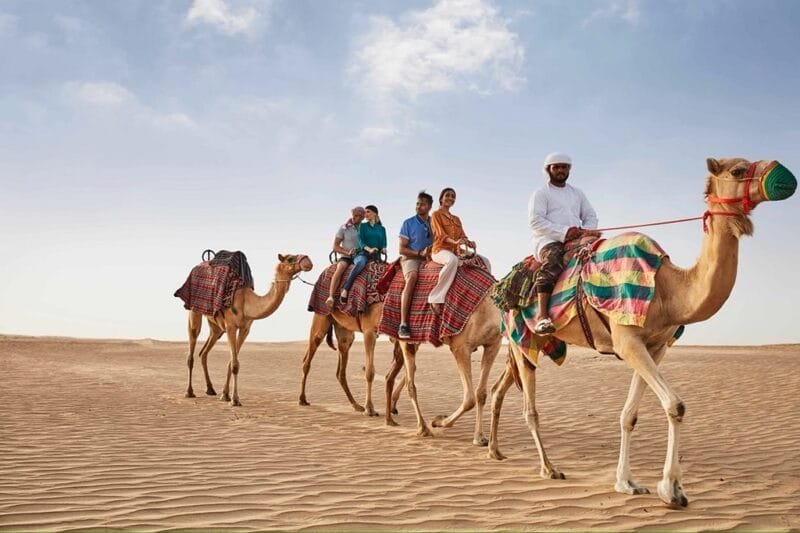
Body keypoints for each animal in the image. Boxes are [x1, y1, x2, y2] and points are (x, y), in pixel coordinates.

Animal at [184, 253, 313, 406]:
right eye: (290, 258)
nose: (308, 262)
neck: (247, 302)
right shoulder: (231, 326)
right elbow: (234, 364)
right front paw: (235, 400)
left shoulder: (245, 329)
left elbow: (232, 362)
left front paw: (225, 395)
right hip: (194, 311)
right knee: (192, 346)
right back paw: (189, 392)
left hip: (216, 327)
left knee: (203, 352)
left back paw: (210, 389)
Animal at [384, 294, 502, 445]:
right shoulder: (460, 347)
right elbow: (469, 399)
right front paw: (438, 421)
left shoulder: (493, 344)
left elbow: (481, 394)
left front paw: (479, 438)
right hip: (406, 339)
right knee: (410, 383)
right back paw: (422, 428)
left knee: (399, 372)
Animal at [488, 157, 796, 508]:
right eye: (738, 170)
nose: (785, 174)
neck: (668, 289)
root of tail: (501, 287)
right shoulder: (627, 340)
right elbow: (675, 405)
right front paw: (671, 489)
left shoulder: (655, 346)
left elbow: (630, 415)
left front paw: (628, 482)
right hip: (521, 334)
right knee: (530, 409)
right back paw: (548, 468)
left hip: (527, 345)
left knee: (500, 387)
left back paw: (494, 450)